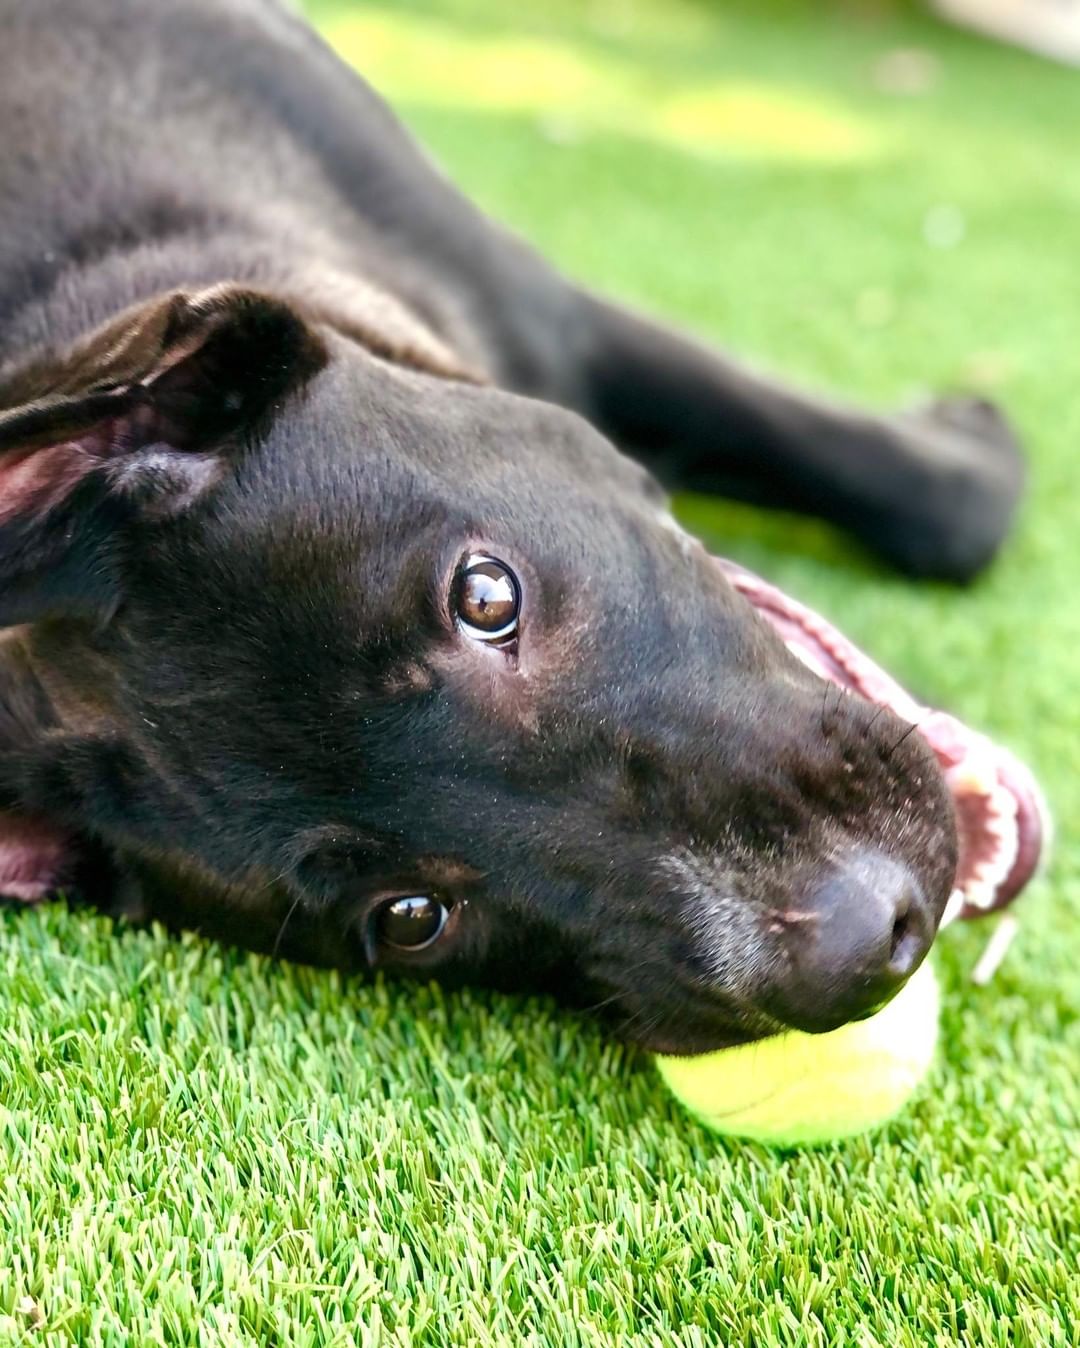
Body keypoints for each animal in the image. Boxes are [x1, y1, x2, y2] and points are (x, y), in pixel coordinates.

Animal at [0, 0, 1019, 1051]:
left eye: (485, 594)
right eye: (411, 917)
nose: (866, 937)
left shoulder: (541, 303)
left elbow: (930, 499)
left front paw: (968, 444)